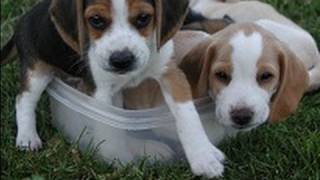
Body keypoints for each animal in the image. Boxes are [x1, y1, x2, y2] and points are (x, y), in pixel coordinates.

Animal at [0, 0, 230, 177]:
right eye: (96, 20)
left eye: (144, 18)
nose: (122, 60)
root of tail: (23, 19)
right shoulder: (101, 93)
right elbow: (111, 129)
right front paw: (120, 158)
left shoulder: (171, 74)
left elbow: (188, 116)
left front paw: (203, 156)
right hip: (37, 70)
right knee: (23, 100)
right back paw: (27, 137)